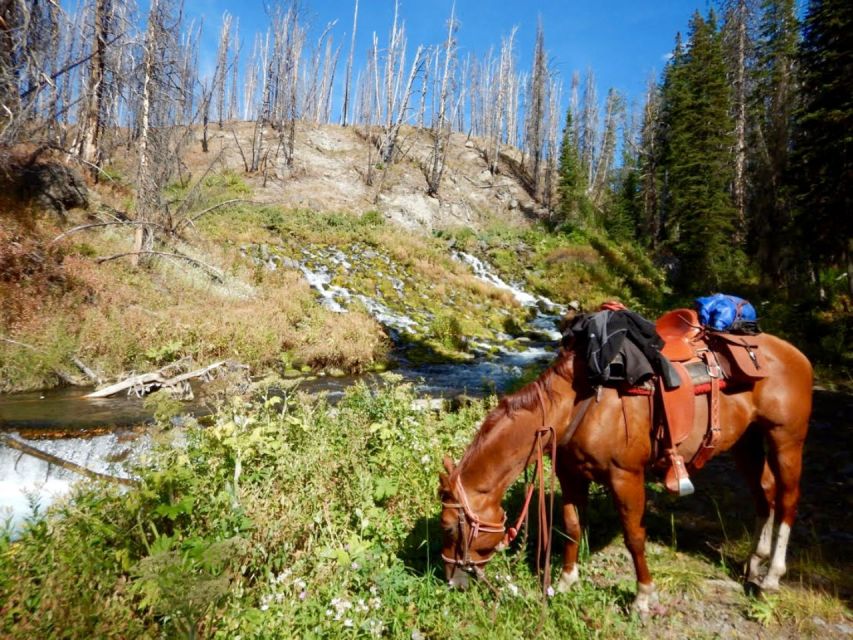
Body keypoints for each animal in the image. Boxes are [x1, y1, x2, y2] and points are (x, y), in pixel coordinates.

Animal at [440, 328, 812, 612]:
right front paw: (565, 582)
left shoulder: (626, 477)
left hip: (786, 440)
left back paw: (771, 578)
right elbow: (571, 527)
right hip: (746, 443)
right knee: (765, 495)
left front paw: (643, 598)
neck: (580, 402)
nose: (451, 581)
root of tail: (796, 354)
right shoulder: (571, 475)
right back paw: (753, 564)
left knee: (788, 499)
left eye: (448, 527)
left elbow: (634, 537)